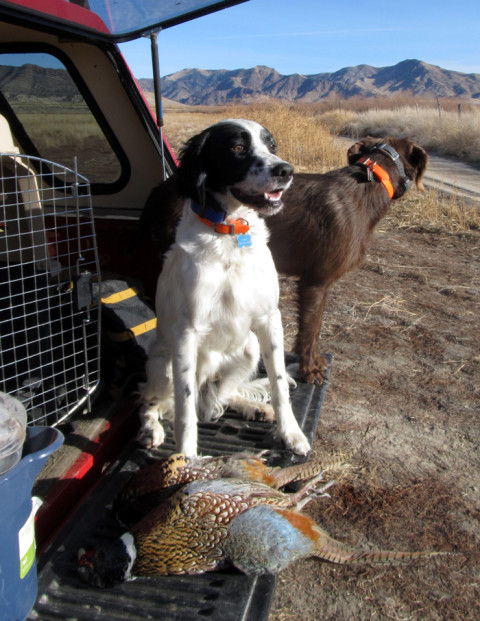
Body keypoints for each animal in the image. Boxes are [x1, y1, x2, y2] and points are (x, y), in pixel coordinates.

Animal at [138, 120, 312, 456]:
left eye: (271, 146)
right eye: (237, 148)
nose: (286, 170)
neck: (230, 234)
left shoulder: (269, 318)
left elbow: (279, 383)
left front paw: (291, 433)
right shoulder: (186, 332)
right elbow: (185, 410)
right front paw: (186, 459)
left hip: (249, 349)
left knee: (219, 396)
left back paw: (253, 407)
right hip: (163, 364)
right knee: (153, 402)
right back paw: (151, 428)